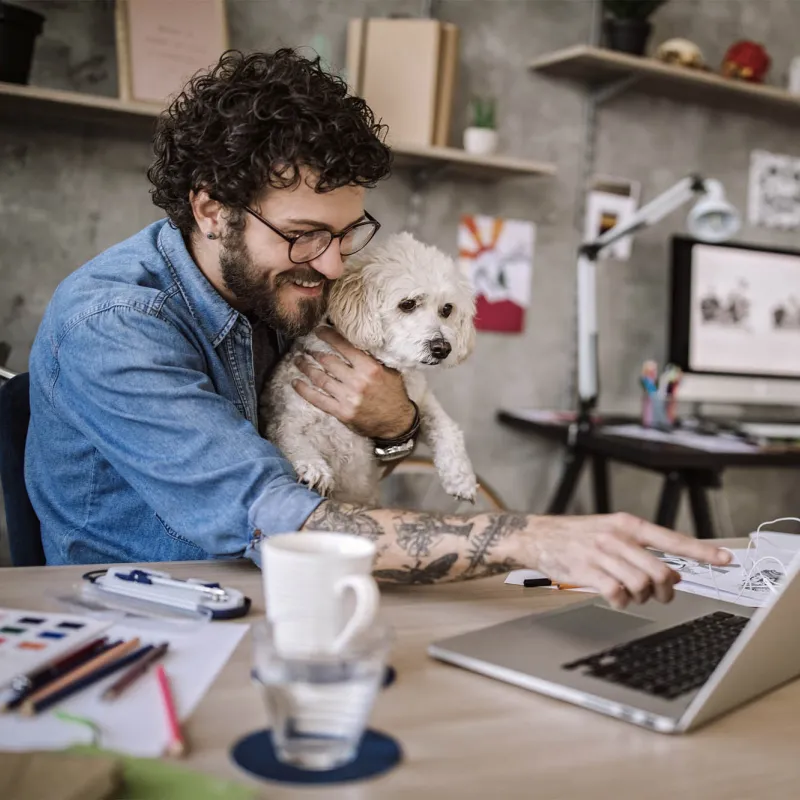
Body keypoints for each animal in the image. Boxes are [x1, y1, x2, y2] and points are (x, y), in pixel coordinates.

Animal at [260, 233, 476, 506]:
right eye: (407, 304)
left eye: (447, 309)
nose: (443, 348)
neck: (381, 361)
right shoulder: (290, 416)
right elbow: (291, 439)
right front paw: (313, 468)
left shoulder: (420, 401)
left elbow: (447, 427)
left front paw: (461, 477)